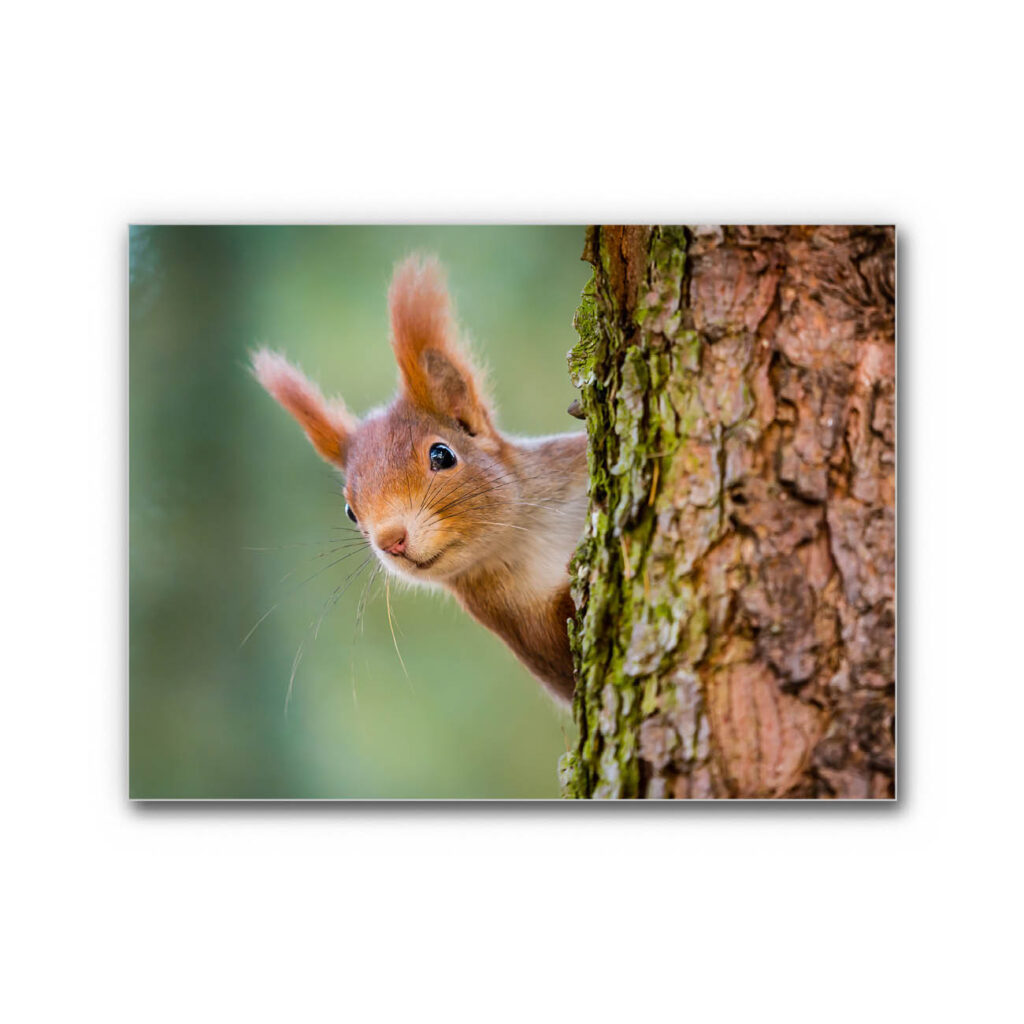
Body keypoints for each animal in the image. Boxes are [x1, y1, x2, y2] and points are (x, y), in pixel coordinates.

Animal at [252, 256, 588, 703]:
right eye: (350, 512)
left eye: (442, 455)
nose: (391, 540)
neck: (527, 535)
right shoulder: (523, 629)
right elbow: (565, 662)